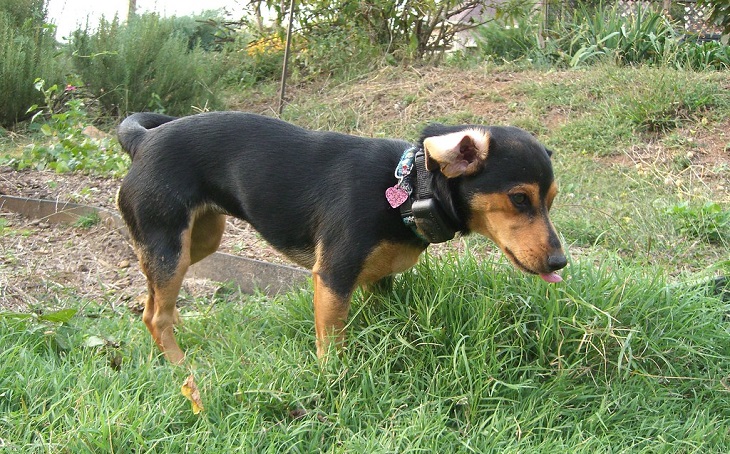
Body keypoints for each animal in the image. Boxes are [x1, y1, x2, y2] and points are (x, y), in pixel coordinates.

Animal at [116, 112, 564, 366]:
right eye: (519, 199)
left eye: (551, 201)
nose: (561, 263)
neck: (407, 189)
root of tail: (144, 140)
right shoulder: (333, 276)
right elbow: (332, 344)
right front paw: (334, 383)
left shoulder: (380, 281)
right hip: (169, 244)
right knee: (154, 315)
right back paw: (183, 368)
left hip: (195, 242)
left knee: (152, 305)